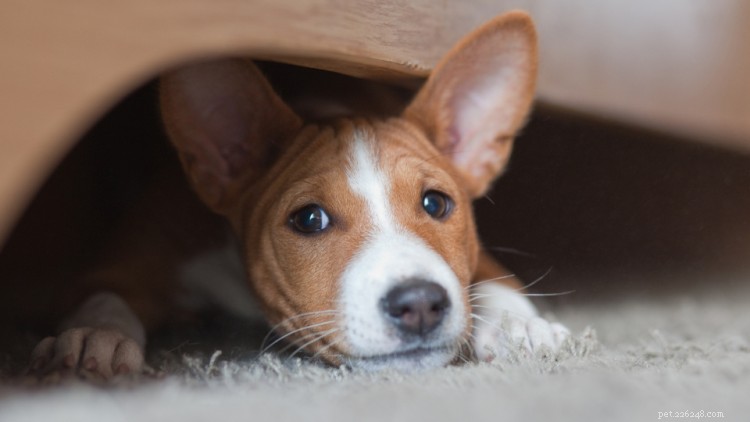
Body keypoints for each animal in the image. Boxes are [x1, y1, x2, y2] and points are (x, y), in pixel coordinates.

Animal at [27, 10, 568, 380]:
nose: (419, 304)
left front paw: (520, 324)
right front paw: (96, 339)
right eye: (309, 219)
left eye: (436, 203)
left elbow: (493, 278)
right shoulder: (119, 260)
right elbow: (104, 297)